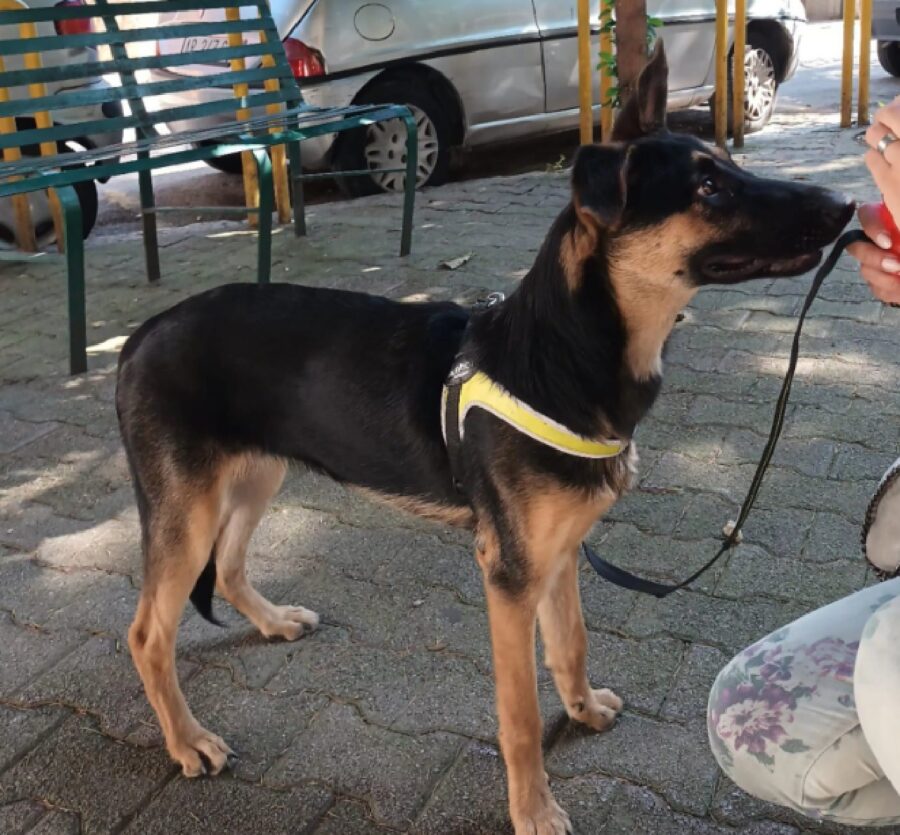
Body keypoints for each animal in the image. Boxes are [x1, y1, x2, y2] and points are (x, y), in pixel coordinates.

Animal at [118, 45, 852, 835]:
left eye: (727, 165)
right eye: (709, 187)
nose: (845, 208)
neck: (565, 351)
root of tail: (140, 334)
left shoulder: (558, 556)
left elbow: (571, 645)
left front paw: (582, 710)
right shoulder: (510, 578)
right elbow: (520, 713)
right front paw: (533, 808)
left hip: (257, 475)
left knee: (225, 569)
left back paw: (273, 622)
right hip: (190, 511)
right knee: (148, 633)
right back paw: (188, 741)